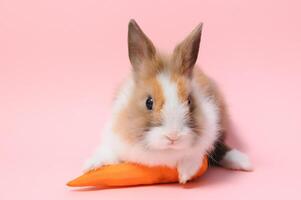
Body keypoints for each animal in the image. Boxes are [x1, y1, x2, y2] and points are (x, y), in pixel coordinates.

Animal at [83, 19, 252, 184]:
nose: (173, 136)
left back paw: (245, 162)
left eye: (189, 101)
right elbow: (107, 153)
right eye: (149, 102)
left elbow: (196, 154)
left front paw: (185, 174)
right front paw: (89, 166)